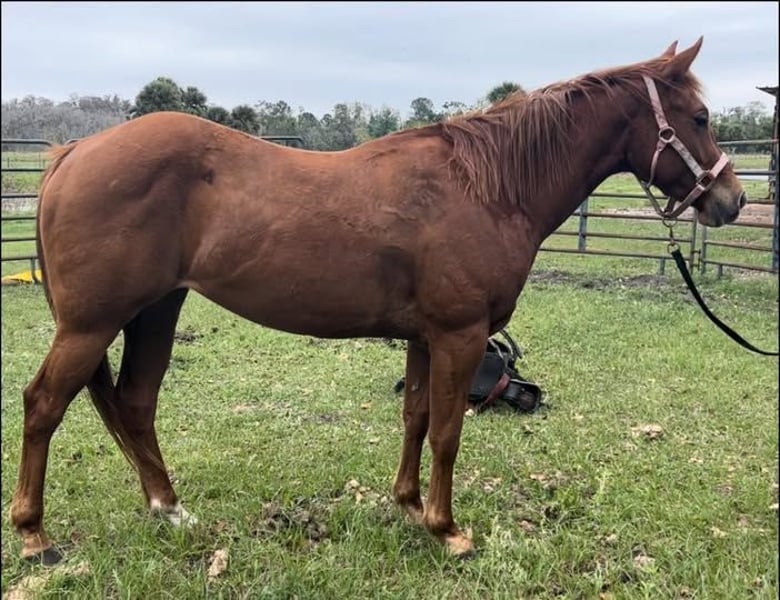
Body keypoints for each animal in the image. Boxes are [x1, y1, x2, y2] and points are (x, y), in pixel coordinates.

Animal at [10, 37, 746, 563]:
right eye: (700, 117)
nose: (732, 200)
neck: (487, 186)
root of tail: (75, 151)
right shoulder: (459, 335)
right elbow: (448, 431)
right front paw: (448, 530)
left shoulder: (424, 337)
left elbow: (416, 420)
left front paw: (409, 505)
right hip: (91, 324)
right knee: (44, 404)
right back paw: (34, 535)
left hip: (154, 313)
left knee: (134, 404)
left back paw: (168, 508)